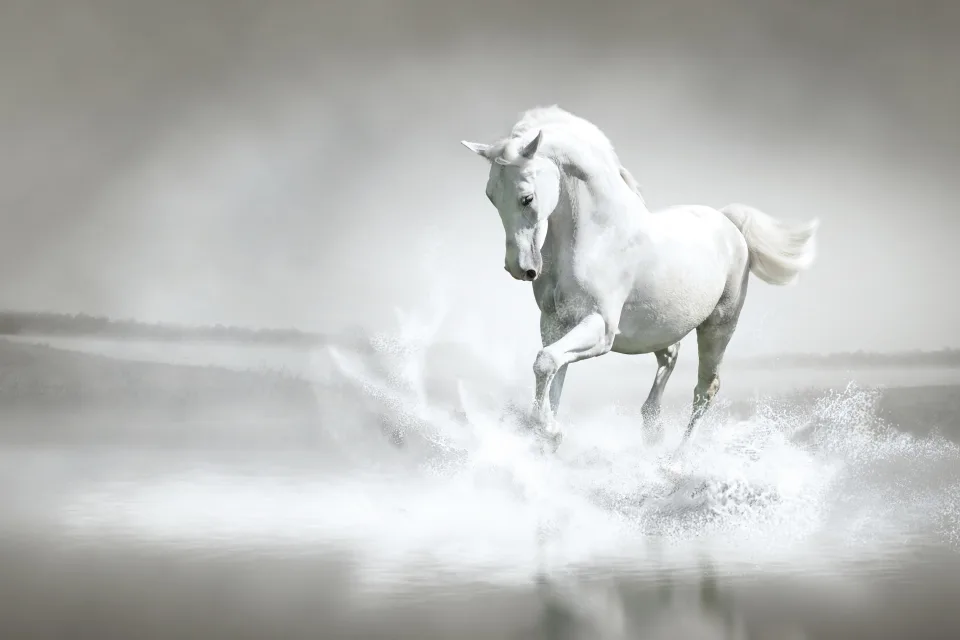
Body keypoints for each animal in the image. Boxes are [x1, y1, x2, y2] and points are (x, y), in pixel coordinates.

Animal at [461, 105, 818, 452]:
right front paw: (547, 435)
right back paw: (652, 428)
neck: (598, 237)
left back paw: (676, 460)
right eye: (491, 196)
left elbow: (546, 362)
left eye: (527, 197)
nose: (519, 268)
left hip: (718, 326)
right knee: (671, 357)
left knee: (705, 389)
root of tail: (729, 224)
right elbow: (553, 374)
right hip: (660, 327)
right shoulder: (554, 323)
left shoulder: (600, 327)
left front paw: (550, 431)